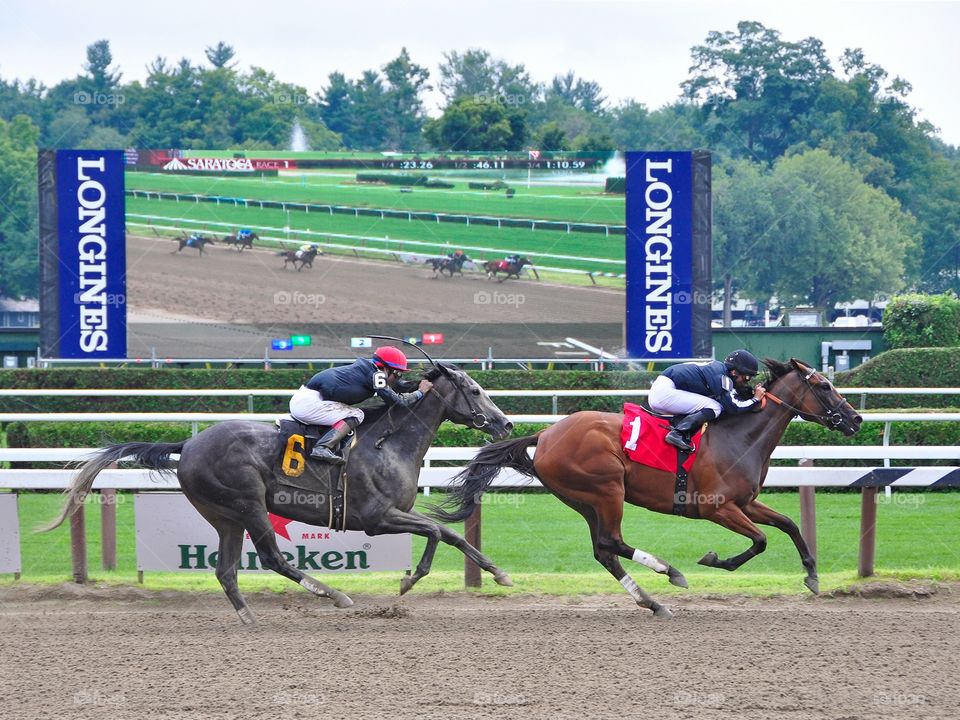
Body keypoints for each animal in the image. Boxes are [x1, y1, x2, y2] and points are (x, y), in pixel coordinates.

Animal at [47, 366, 510, 624]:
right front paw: (408, 580)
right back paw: (335, 596)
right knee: (271, 558)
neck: (387, 444)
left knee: (226, 570)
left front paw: (498, 573)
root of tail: (188, 443)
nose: (504, 424)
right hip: (248, 503)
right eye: (475, 390)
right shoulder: (377, 518)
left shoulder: (391, 514)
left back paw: (249, 617)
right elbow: (434, 531)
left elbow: (450, 534)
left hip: (225, 516)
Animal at [434, 358, 864, 616]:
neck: (740, 436)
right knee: (611, 541)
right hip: (607, 490)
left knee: (604, 550)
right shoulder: (717, 507)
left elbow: (788, 524)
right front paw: (714, 560)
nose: (856, 419)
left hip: (584, 499)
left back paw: (652, 601)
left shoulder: (745, 503)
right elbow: (760, 541)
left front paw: (812, 575)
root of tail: (546, 433)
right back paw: (668, 571)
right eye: (823, 386)